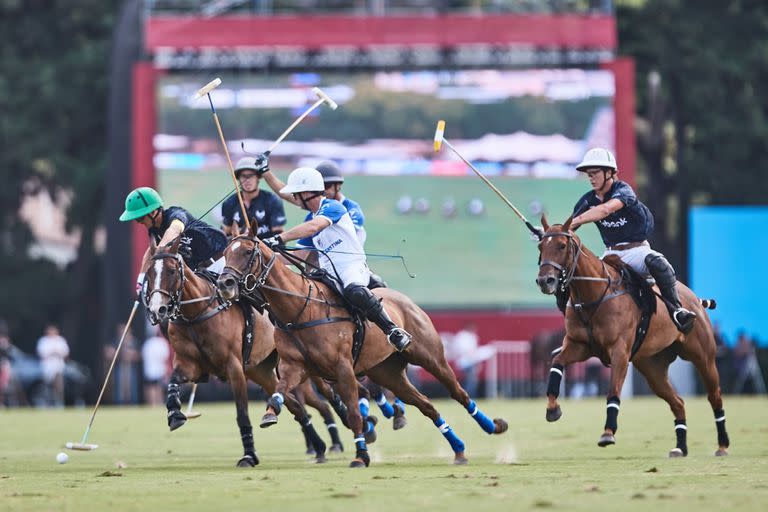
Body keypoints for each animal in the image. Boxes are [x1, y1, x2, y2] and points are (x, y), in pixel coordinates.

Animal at [142, 238, 338, 466]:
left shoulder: (233, 367)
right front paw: (175, 414)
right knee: (296, 405)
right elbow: (172, 382)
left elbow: (242, 413)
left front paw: (249, 456)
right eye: (149, 273)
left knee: (326, 396)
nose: (158, 310)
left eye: (172, 271)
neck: (197, 314)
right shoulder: (188, 364)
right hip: (262, 371)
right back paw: (319, 447)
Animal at [216, 232, 508, 468]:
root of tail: (404, 298)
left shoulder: (343, 368)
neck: (301, 309)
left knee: (458, 392)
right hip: (387, 372)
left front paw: (361, 455)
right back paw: (458, 450)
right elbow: (280, 391)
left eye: (247, 252)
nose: (224, 284)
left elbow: (355, 414)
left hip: (429, 356)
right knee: (427, 405)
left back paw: (491, 425)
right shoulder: (294, 367)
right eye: (225, 253)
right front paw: (269, 413)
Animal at [536, 216, 728, 456]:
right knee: (678, 402)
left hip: (703, 357)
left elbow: (613, 390)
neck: (593, 294)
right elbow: (557, 363)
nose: (545, 281)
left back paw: (722, 445)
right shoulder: (578, 345)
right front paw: (553, 408)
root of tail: (695, 299)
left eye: (562, 245)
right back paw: (680, 447)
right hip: (652, 367)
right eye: (540, 246)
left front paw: (608, 432)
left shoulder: (619, 351)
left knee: (714, 396)